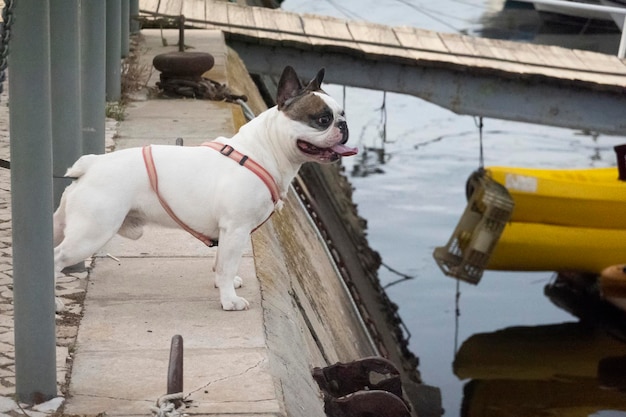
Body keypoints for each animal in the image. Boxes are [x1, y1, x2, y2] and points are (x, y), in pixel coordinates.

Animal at [53, 66, 356, 308]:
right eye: (322, 119)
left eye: (342, 114)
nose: (344, 125)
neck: (263, 150)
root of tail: (92, 164)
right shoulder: (236, 230)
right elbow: (227, 265)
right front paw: (229, 301)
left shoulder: (227, 233)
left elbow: (221, 264)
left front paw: (225, 286)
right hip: (92, 232)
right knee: (56, 259)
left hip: (67, 225)